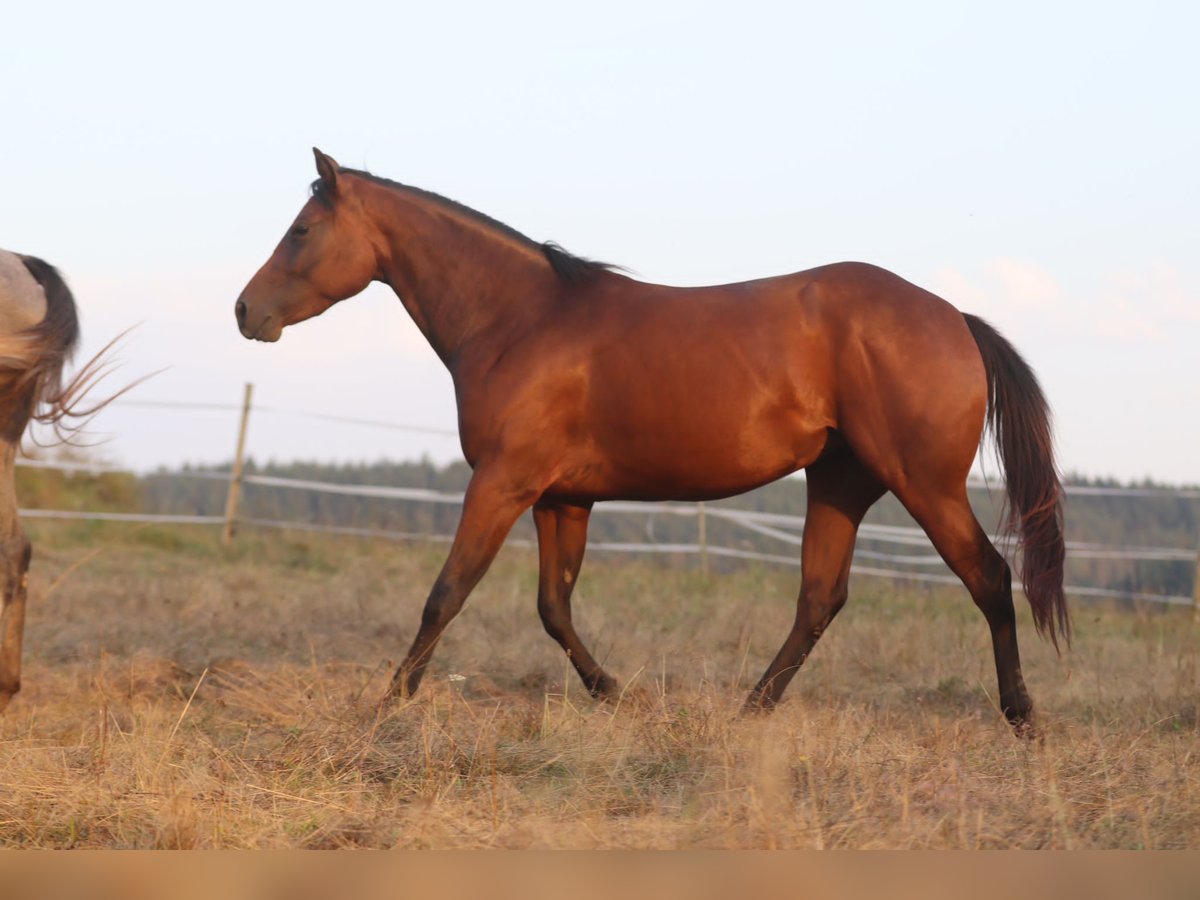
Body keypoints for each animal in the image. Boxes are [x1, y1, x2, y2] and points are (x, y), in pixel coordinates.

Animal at [234, 151, 1070, 734]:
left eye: (300, 231)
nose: (245, 311)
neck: (520, 321)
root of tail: (955, 317)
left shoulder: (503, 482)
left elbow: (447, 593)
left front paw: (389, 701)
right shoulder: (563, 498)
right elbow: (553, 607)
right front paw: (614, 694)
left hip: (923, 483)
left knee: (989, 577)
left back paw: (1022, 716)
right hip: (840, 482)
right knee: (819, 599)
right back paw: (751, 710)